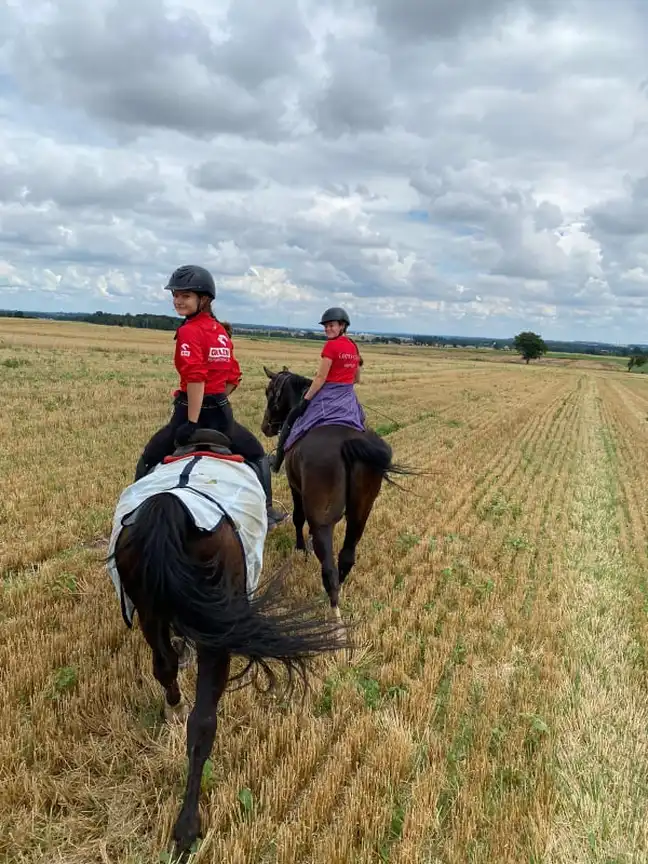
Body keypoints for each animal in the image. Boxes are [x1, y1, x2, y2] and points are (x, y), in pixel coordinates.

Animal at [106, 430, 350, 856]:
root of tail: (170, 507)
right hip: (216, 630)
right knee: (203, 721)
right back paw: (187, 826)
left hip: (153, 612)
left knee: (163, 666)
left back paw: (173, 708)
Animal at [260, 364, 412, 620]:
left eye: (270, 392)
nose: (265, 426)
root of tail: (348, 444)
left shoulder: (295, 486)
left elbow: (298, 518)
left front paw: (300, 549)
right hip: (360, 513)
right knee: (347, 557)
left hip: (322, 519)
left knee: (329, 566)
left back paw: (334, 615)